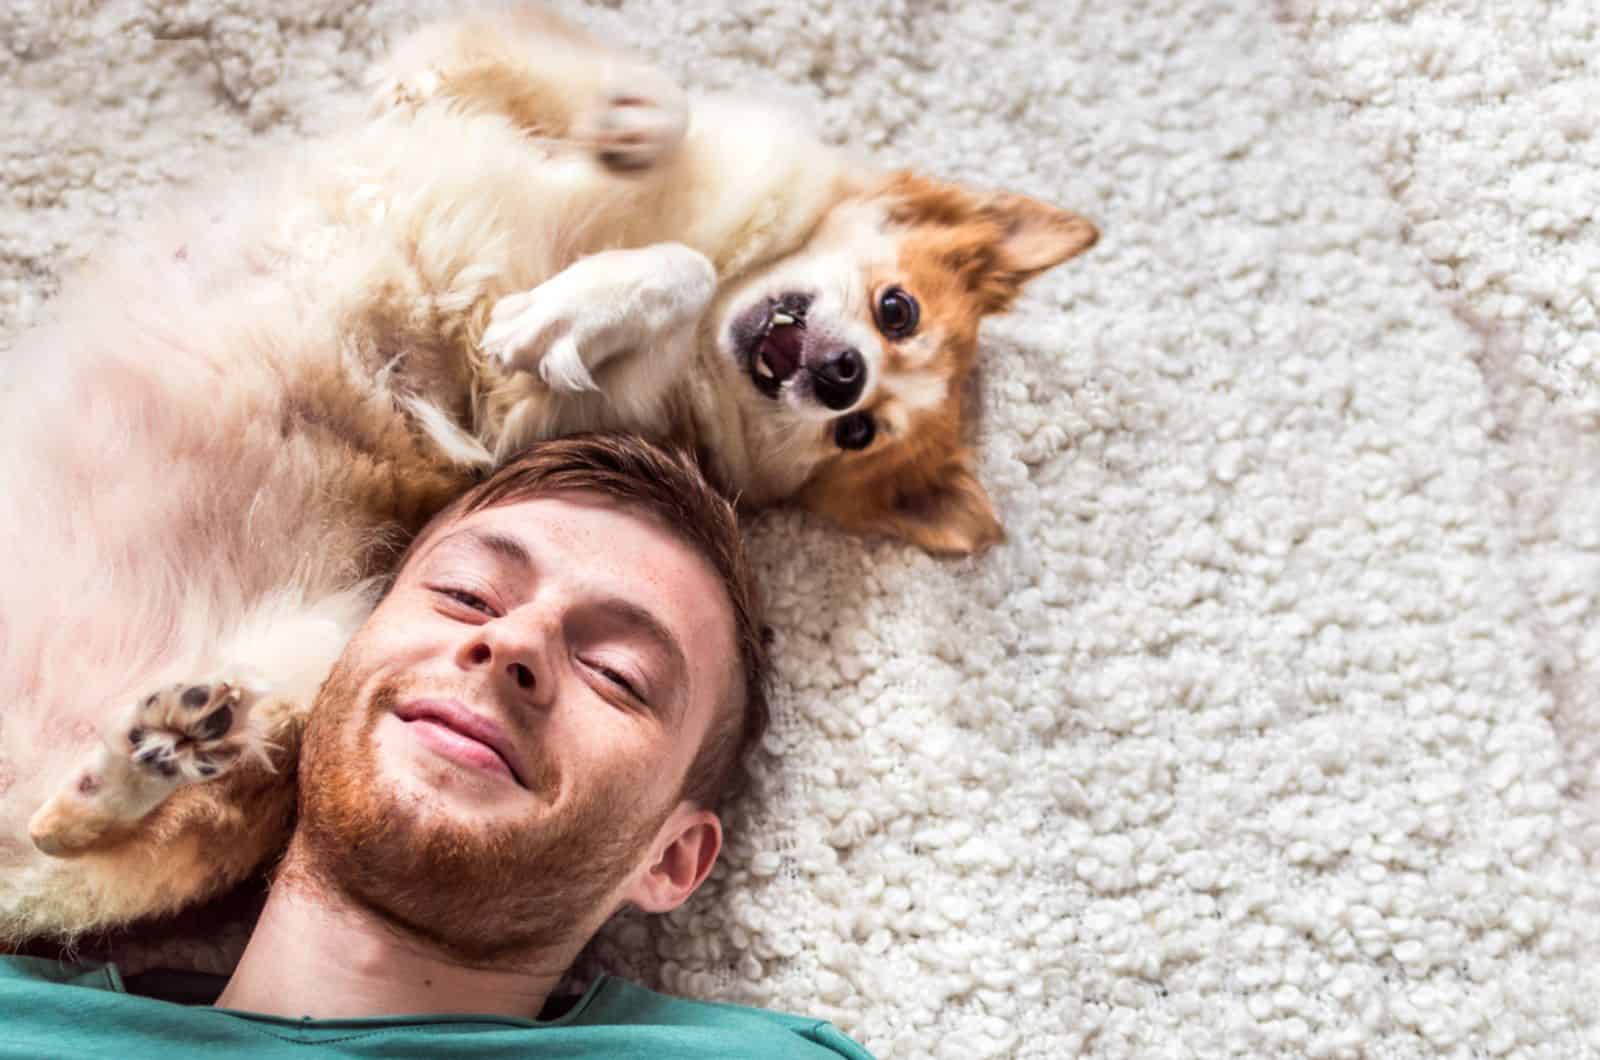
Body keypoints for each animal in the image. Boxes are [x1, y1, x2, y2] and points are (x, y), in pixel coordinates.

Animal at [0, 4, 1094, 941]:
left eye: (859, 434)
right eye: (896, 311)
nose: (841, 378)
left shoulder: (537, 417)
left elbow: (651, 287)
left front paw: (581, 302)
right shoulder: (465, 66)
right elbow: (648, 108)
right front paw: (629, 133)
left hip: (323, 657)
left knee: (95, 824)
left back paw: (157, 753)